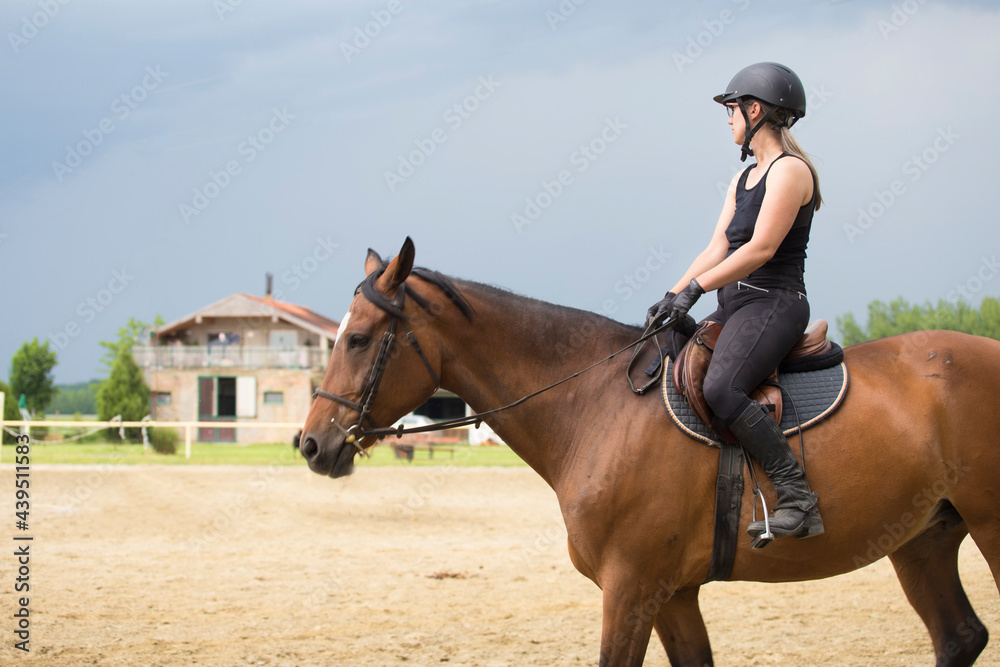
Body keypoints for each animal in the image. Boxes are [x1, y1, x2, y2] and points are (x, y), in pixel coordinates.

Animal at [300, 238, 1000, 666]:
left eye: (359, 339)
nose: (311, 443)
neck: (595, 404)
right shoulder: (673, 594)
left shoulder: (630, 589)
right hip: (922, 538)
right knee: (960, 637)